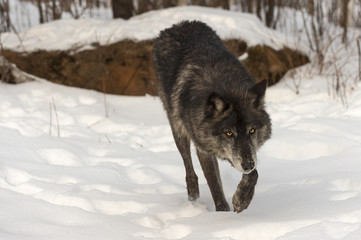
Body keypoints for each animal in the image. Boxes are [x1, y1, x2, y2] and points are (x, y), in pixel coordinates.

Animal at [152, 20, 270, 212]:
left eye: (252, 131)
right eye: (229, 133)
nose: (248, 165)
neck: (225, 87)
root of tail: (179, 24)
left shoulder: (240, 154)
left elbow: (254, 174)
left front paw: (242, 199)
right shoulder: (204, 148)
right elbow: (214, 182)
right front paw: (222, 213)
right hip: (178, 130)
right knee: (189, 168)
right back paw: (193, 197)